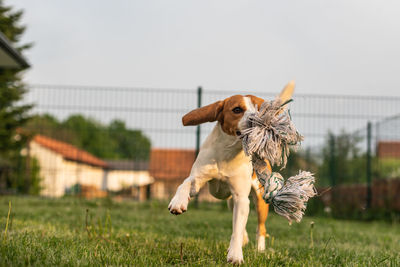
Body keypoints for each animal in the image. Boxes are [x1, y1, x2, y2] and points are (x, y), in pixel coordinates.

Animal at [167, 82, 296, 266]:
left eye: (261, 109)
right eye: (237, 109)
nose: (255, 120)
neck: (228, 153)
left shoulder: (241, 197)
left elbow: (237, 229)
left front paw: (235, 255)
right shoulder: (198, 179)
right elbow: (185, 183)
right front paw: (178, 202)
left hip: (260, 200)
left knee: (260, 228)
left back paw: (260, 250)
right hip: (230, 202)